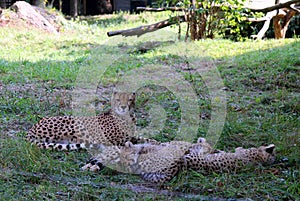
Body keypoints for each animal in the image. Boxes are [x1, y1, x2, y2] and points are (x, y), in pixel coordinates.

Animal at [26, 92, 157, 150]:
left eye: (129, 100)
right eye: (118, 100)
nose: (123, 107)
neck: (126, 117)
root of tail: (32, 127)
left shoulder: (131, 136)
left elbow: (147, 139)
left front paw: (157, 143)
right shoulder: (104, 139)